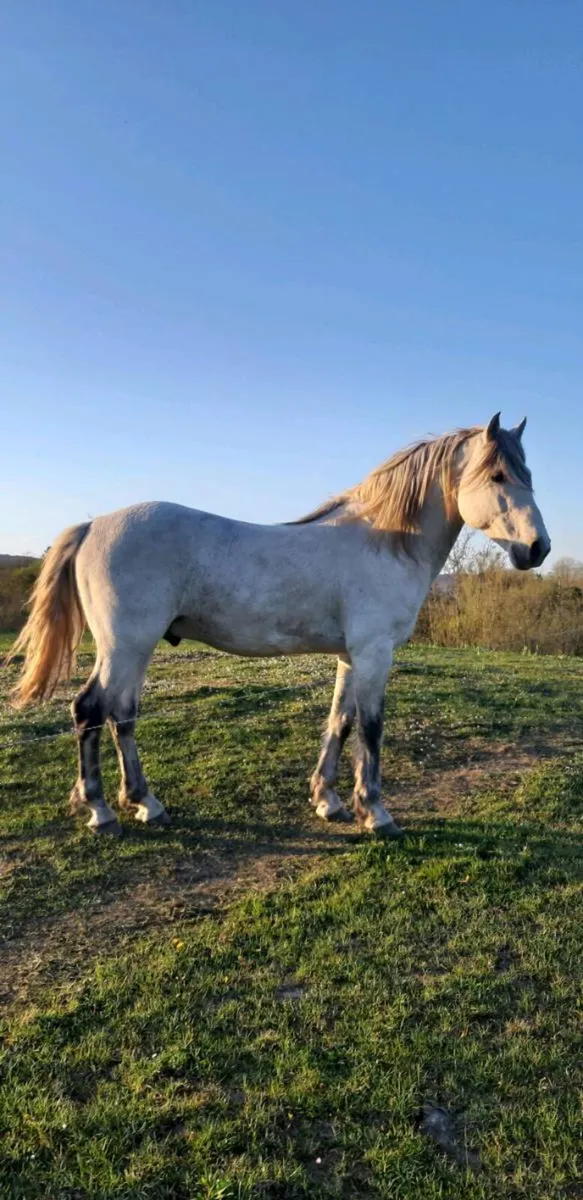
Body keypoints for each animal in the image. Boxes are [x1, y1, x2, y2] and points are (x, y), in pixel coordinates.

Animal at [7, 413, 550, 837]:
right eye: (498, 475)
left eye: (528, 473)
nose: (537, 548)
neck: (385, 541)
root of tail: (94, 523)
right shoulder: (375, 653)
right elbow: (371, 728)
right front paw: (375, 812)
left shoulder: (350, 656)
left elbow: (339, 721)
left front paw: (328, 800)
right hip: (125, 646)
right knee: (89, 710)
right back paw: (101, 810)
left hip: (133, 650)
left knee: (121, 715)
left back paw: (145, 803)